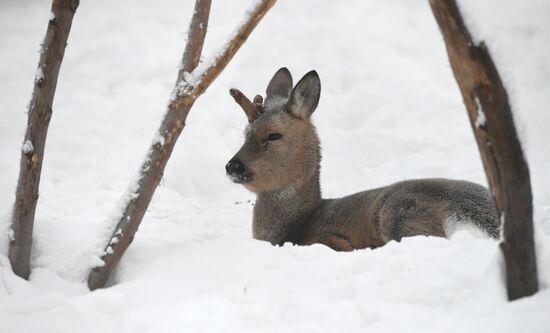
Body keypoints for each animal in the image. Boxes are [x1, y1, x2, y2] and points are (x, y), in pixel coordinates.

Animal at [226, 67, 502, 249]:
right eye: (246, 132)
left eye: (274, 135)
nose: (232, 165)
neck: (295, 226)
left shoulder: (333, 239)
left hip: (398, 211)